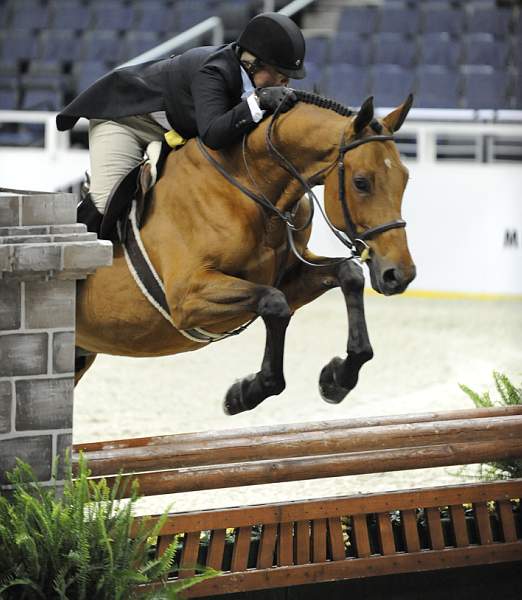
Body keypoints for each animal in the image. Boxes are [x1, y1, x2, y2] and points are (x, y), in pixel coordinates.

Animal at [75, 91, 414, 414]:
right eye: (361, 182)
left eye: (405, 178)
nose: (399, 275)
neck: (249, 187)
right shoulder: (186, 299)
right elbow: (274, 304)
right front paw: (246, 393)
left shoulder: (288, 278)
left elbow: (348, 275)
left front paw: (337, 379)